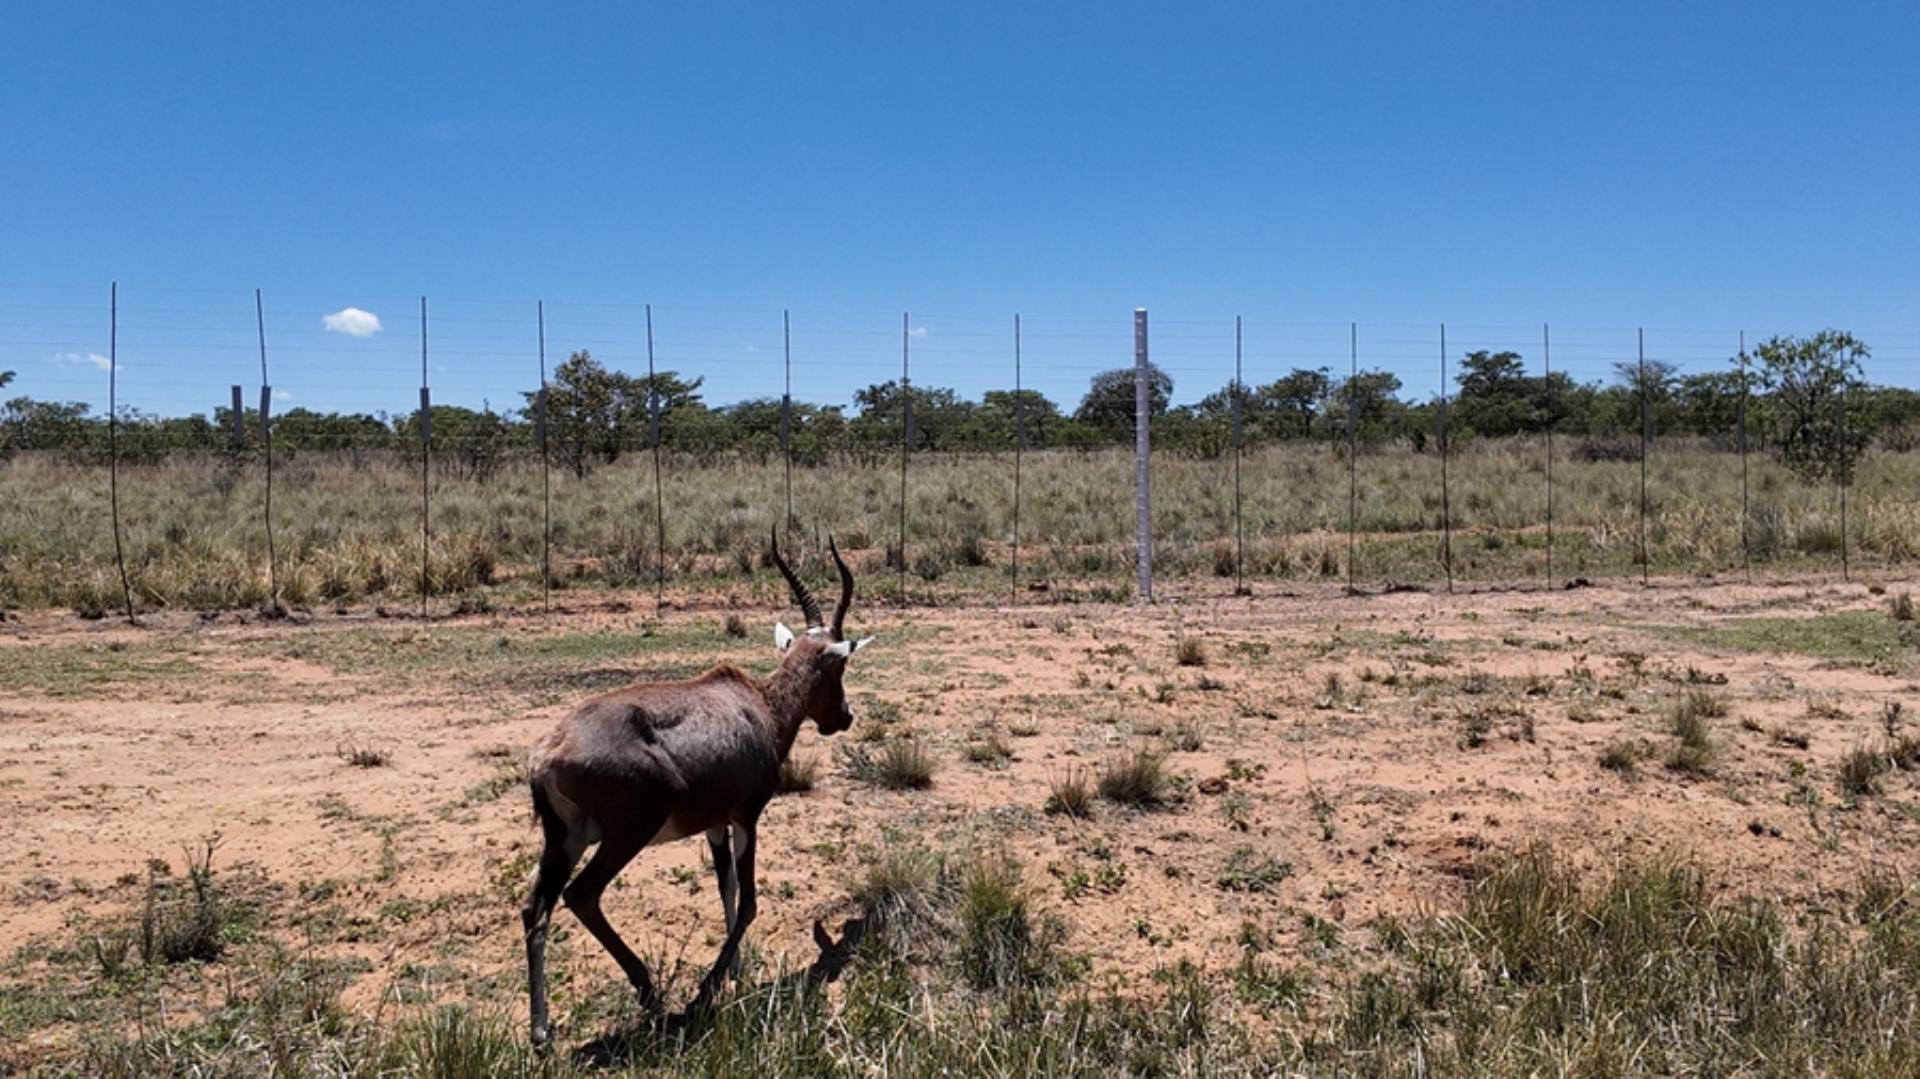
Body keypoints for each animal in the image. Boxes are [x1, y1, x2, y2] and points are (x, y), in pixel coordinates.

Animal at [522, 526, 875, 1036]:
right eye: (841, 666)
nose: (844, 717)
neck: (756, 705)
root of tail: (548, 753)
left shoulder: (714, 824)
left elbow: (725, 890)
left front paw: (735, 970)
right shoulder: (748, 817)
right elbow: (748, 902)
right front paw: (707, 988)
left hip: (564, 840)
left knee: (535, 909)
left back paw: (541, 1032)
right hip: (625, 834)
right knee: (581, 895)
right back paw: (649, 992)